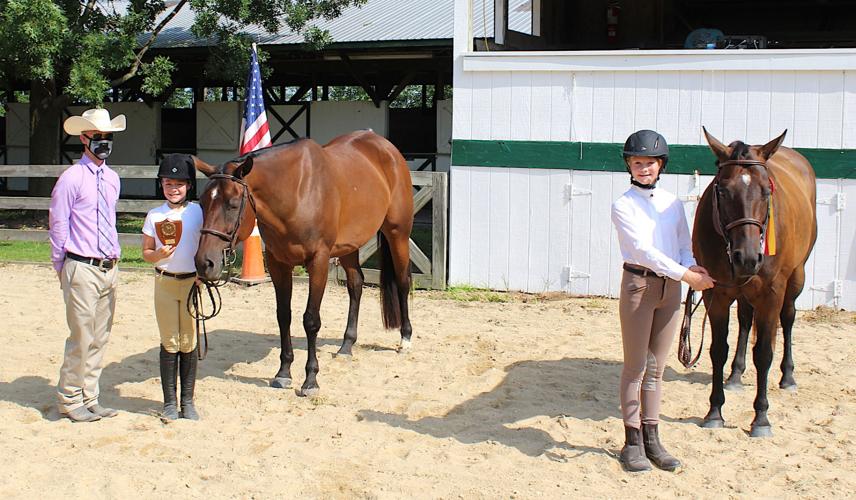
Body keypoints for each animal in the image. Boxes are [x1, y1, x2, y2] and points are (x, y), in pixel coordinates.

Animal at [192, 130, 414, 396]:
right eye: (202, 202)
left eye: (232, 204)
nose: (204, 262)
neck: (297, 192)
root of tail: (387, 148)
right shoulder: (278, 263)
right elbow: (283, 316)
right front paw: (283, 373)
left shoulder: (318, 262)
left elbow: (311, 320)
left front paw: (310, 379)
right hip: (349, 246)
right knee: (356, 284)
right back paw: (346, 345)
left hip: (398, 234)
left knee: (402, 281)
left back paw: (405, 339)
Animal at [692, 127, 817, 437]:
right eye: (722, 190)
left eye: (766, 190)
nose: (747, 258)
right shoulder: (716, 294)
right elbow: (718, 350)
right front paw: (714, 412)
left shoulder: (771, 293)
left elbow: (763, 353)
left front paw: (761, 418)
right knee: (746, 320)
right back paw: (736, 375)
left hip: (795, 278)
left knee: (788, 318)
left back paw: (788, 376)